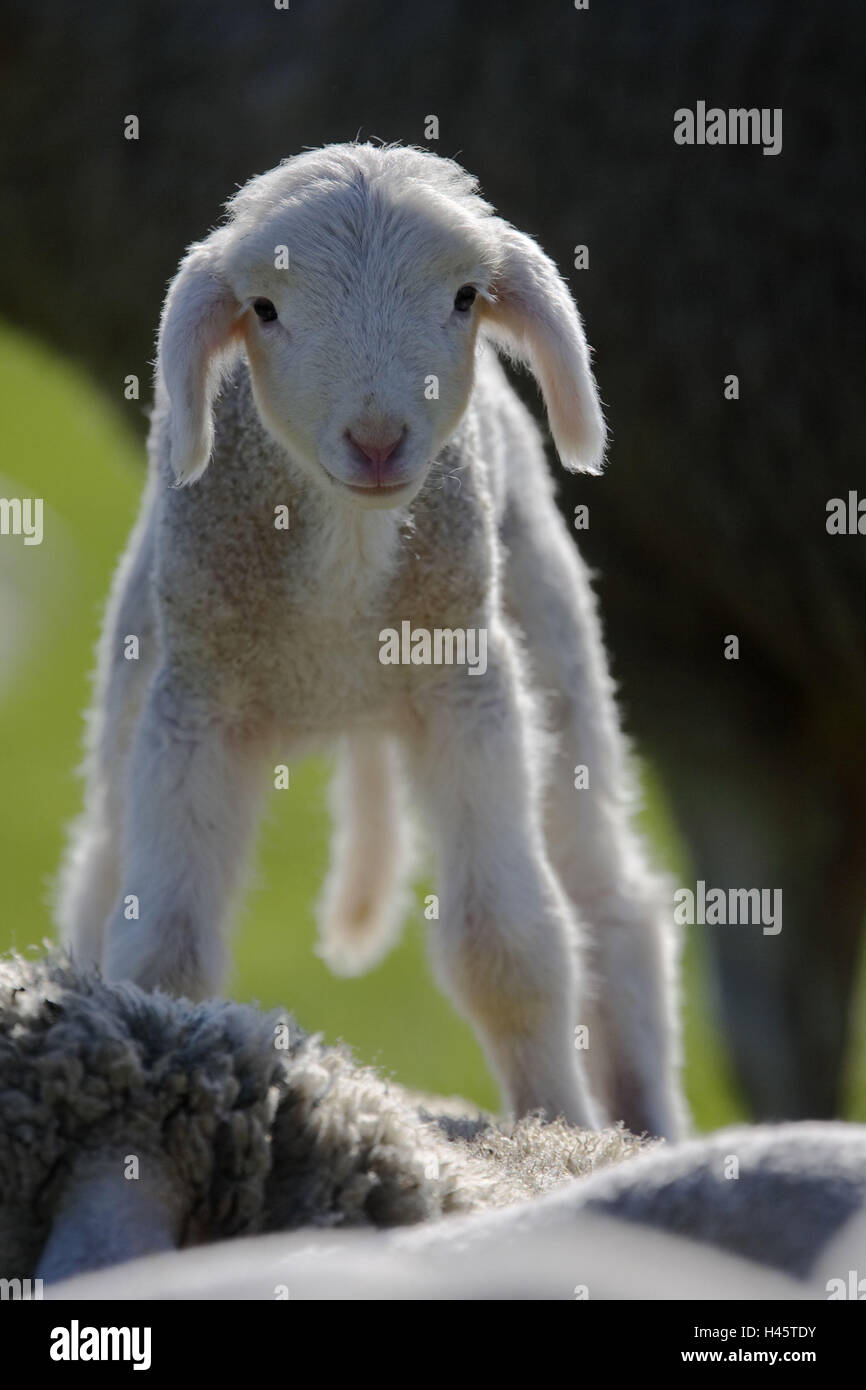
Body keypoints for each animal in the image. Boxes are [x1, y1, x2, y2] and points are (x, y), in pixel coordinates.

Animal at [57, 141, 686, 1139]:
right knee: (100, 870)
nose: (380, 438)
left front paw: (554, 1126)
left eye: (465, 297)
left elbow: (508, 949)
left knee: (609, 901)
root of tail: (344, 704)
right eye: (265, 309)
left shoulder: (468, 687)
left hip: (550, 641)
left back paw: (645, 1129)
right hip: (135, 676)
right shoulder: (193, 705)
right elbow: (162, 948)